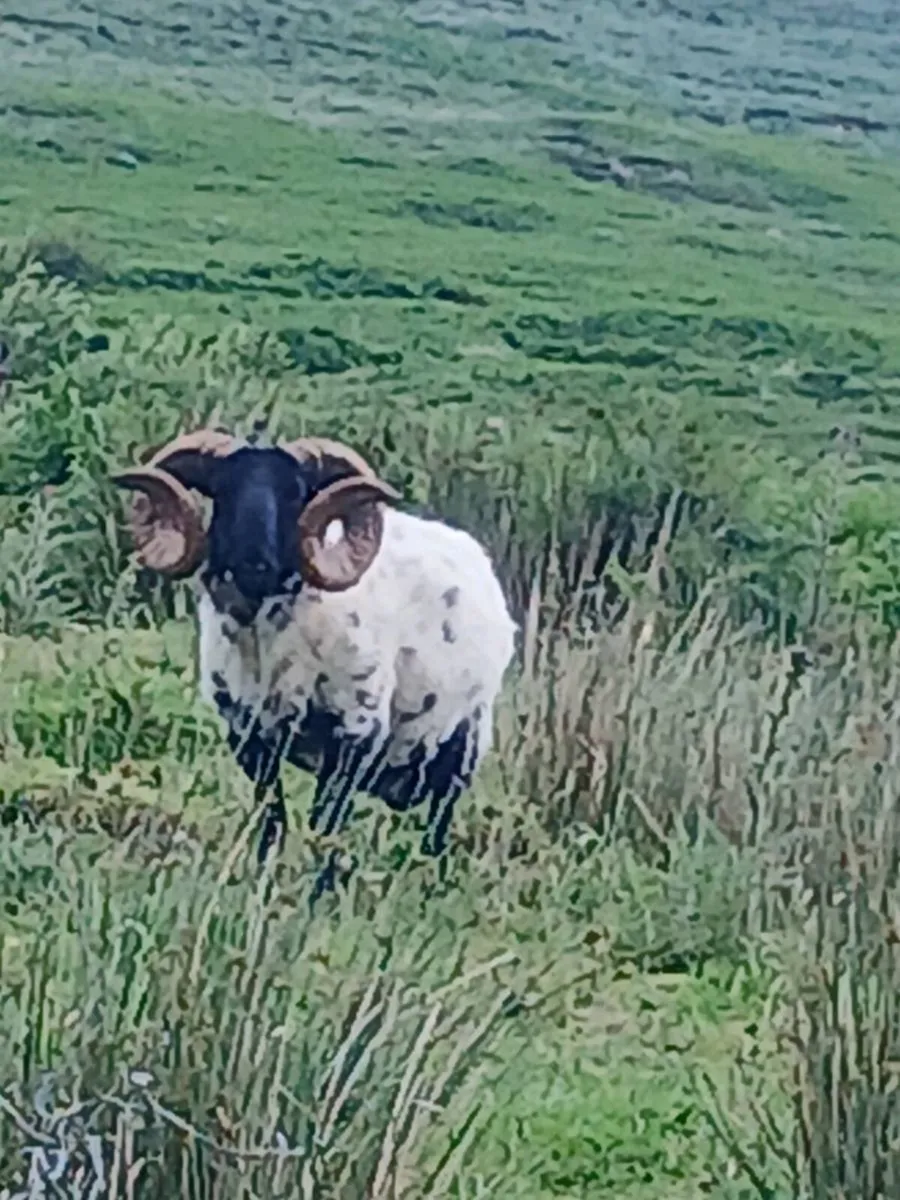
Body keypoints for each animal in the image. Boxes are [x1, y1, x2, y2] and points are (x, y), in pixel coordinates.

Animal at [112, 427, 517, 893]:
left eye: (296, 492)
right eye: (221, 489)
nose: (254, 564)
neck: (271, 649)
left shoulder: (354, 737)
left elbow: (325, 829)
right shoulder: (250, 738)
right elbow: (272, 822)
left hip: (463, 746)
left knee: (436, 832)